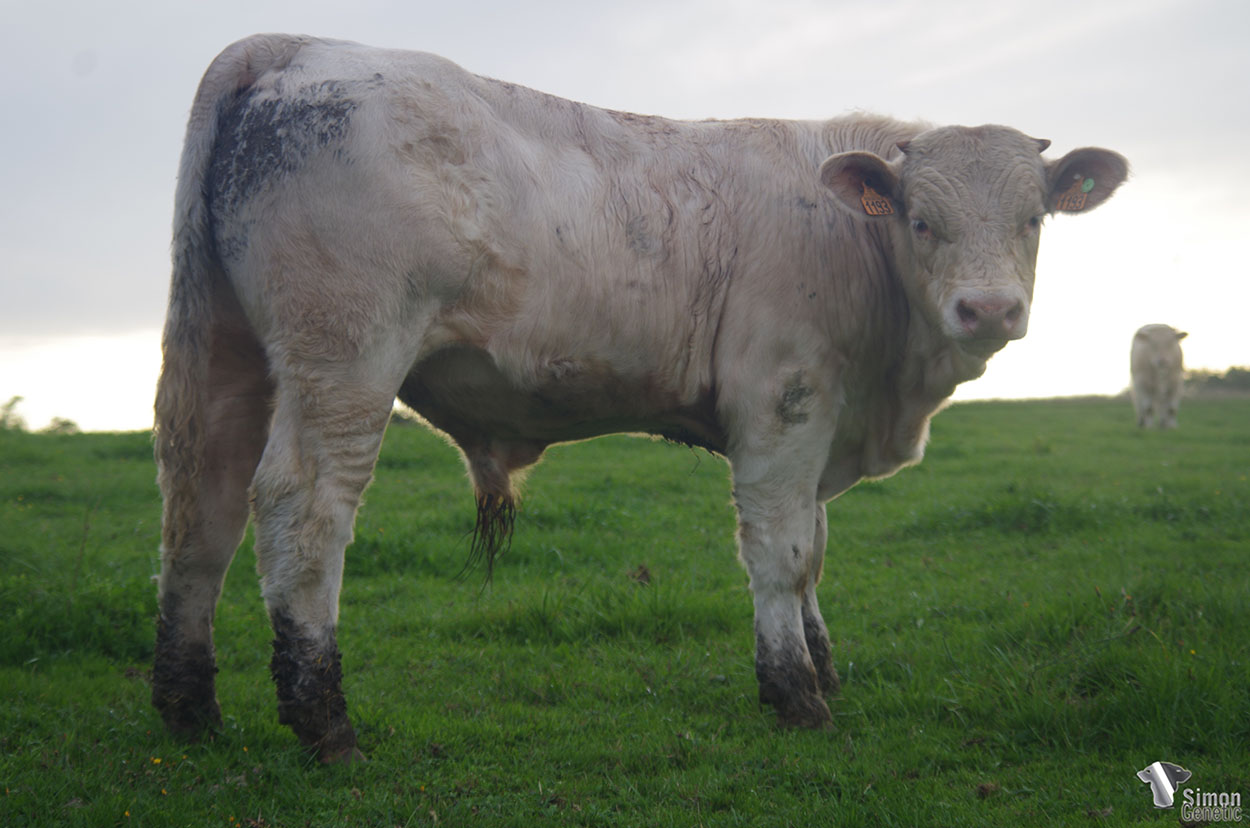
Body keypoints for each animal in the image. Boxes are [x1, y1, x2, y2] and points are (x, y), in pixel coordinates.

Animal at [151, 33, 1129, 762]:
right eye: (921, 221)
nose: (989, 309)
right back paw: (324, 720)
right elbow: (780, 554)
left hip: (230, 352)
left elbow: (813, 552)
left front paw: (821, 667)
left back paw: (189, 708)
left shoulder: (821, 427)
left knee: (202, 507)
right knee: (304, 510)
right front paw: (795, 695)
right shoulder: (782, 408)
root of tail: (297, 46)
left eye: (1033, 219)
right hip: (345, 356)